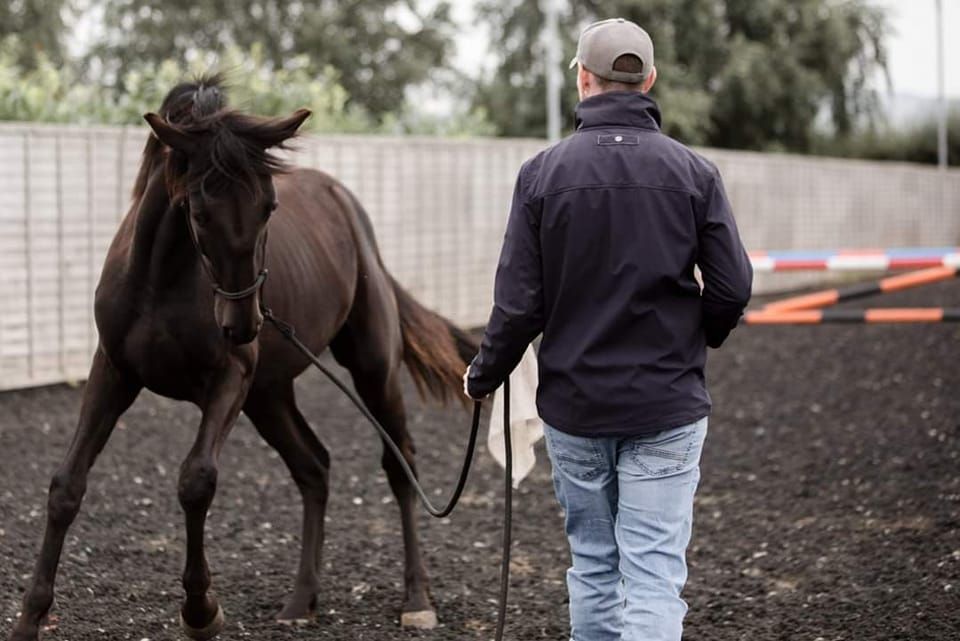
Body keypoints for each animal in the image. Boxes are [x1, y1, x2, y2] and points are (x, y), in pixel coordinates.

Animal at [5, 76, 474, 640]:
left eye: (269, 207)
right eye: (199, 211)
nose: (243, 324)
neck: (162, 281)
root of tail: (347, 208)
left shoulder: (229, 378)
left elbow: (196, 481)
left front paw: (201, 611)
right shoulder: (112, 373)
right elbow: (66, 485)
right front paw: (30, 618)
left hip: (371, 369)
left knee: (398, 461)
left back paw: (416, 598)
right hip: (269, 396)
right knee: (313, 466)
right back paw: (300, 600)